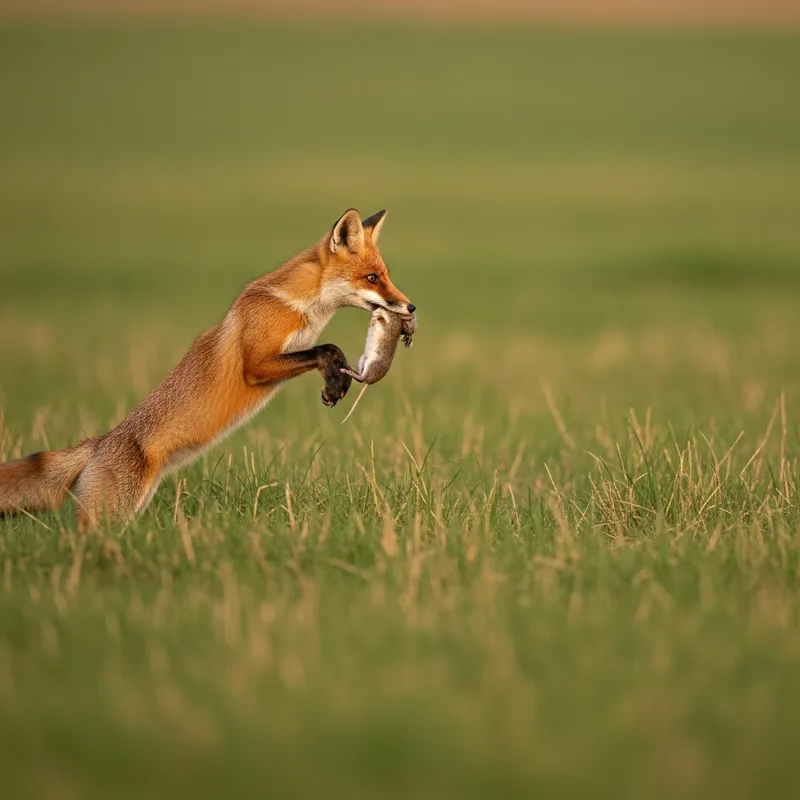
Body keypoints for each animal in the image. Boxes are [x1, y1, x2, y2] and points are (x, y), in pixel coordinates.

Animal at [0, 208, 415, 530]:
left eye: (386, 275)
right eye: (372, 278)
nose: (410, 307)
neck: (302, 307)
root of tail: (101, 442)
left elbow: (323, 351)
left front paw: (336, 383)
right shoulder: (257, 363)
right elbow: (326, 349)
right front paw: (334, 381)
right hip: (111, 513)